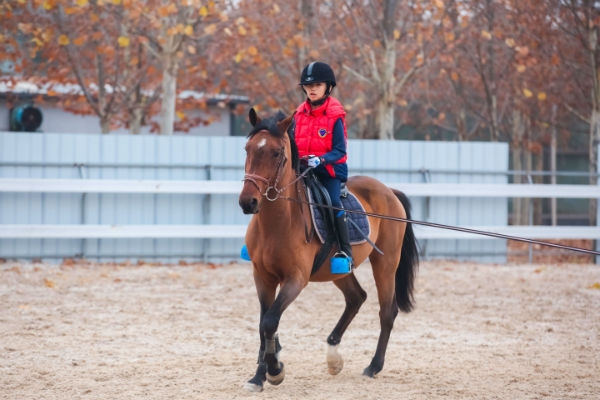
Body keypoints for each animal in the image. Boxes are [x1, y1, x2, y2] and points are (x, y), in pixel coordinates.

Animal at [238, 108, 418, 392]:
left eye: (276, 153)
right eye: (248, 149)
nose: (248, 202)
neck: (277, 223)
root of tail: (388, 190)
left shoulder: (296, 279)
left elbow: (269, 321)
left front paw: (275, 371)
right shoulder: (262, 277)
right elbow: (263, 323)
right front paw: (259, 376)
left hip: (386, 264)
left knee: (387, 311)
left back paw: (373, 366)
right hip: (339, 270)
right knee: (356, 298)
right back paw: (333, 357)